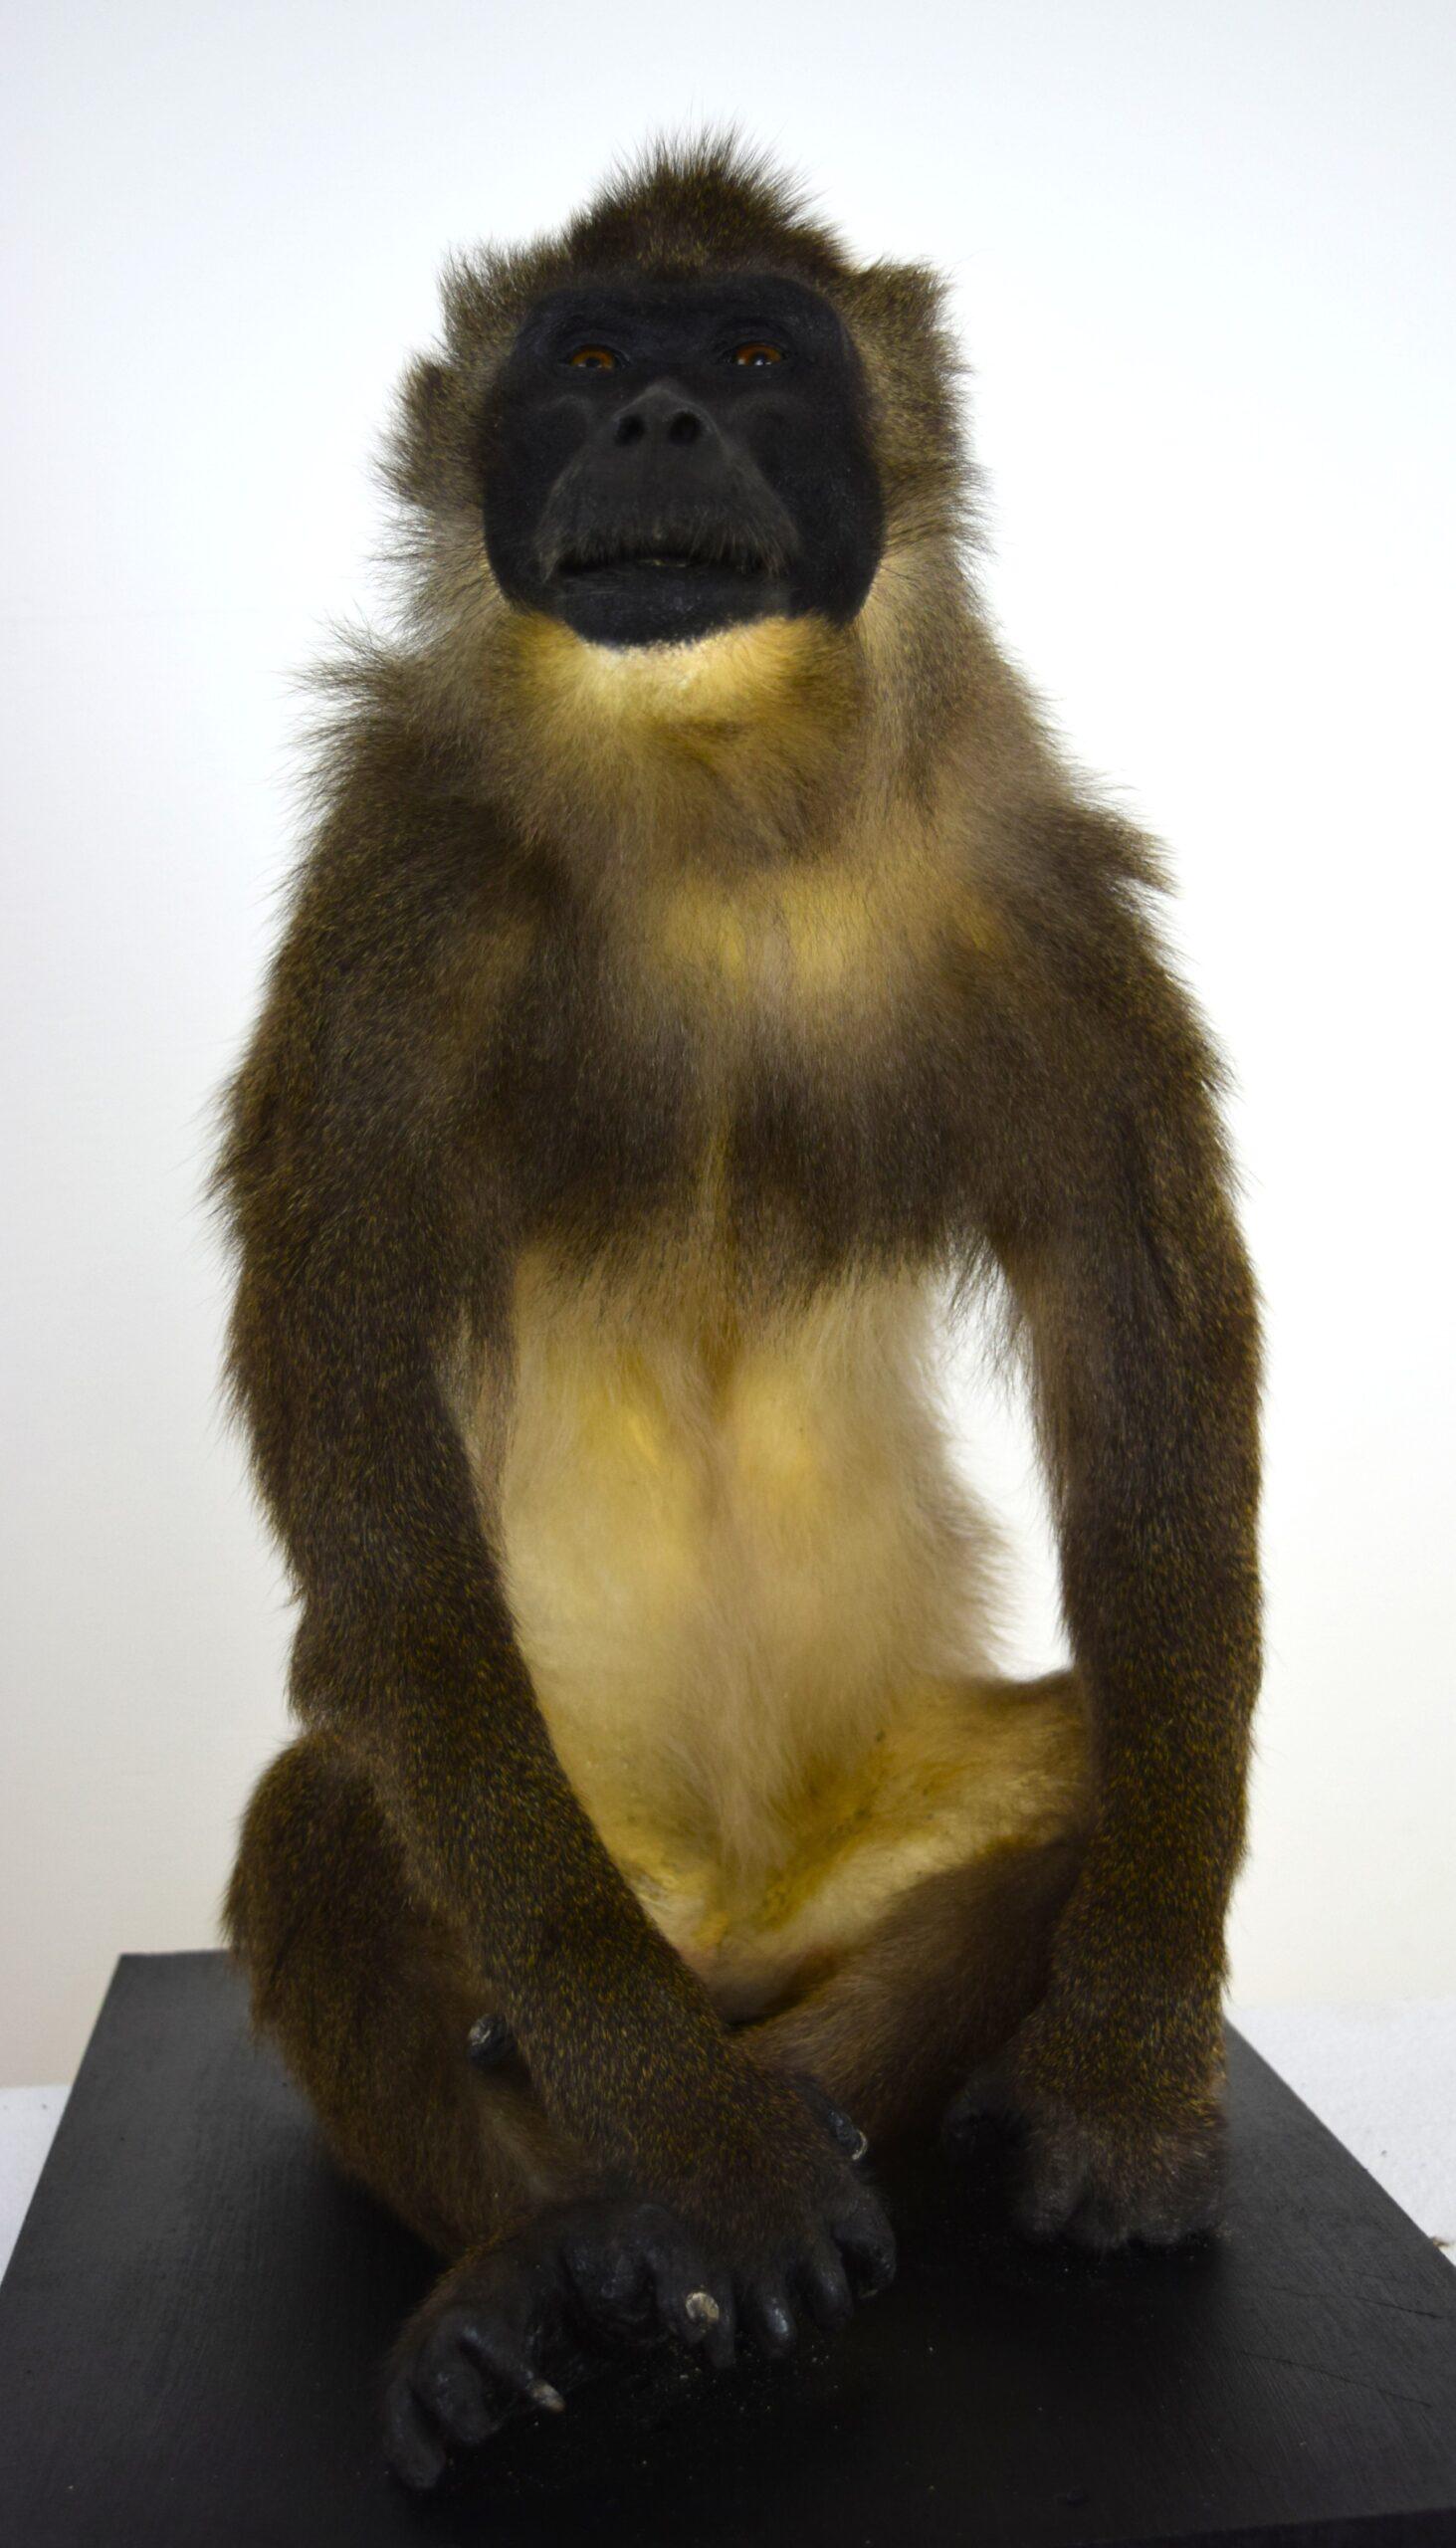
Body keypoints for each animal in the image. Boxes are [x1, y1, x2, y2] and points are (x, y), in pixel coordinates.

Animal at [217, 135, 1262, 2492]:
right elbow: (372, 1499)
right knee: (338, 1808)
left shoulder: (1041, 898)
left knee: (1078, 1783)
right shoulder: (384, 903)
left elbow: (1148, 1403)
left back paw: (820, 2107)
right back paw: (559, 2251)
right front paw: (690, 2164)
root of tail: (726, 1921)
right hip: (583, 1840)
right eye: (596, 361)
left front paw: (1121, 2072)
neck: (705, 788)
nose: (666, 422)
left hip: (875, 1826)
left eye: (758, 361)